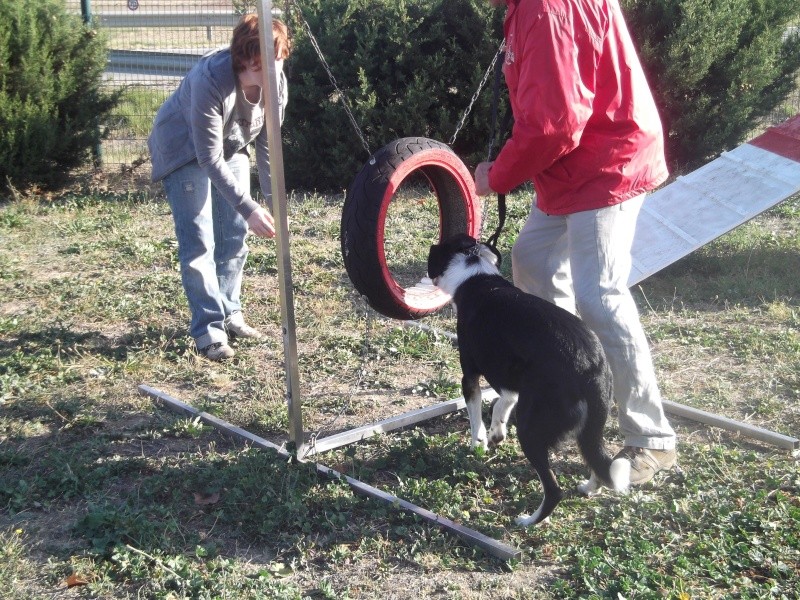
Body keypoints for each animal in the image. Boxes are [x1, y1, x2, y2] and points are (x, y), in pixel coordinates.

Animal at [428, 234, 628, 524]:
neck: (476, 275)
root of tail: (591, 368)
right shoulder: (511, 380)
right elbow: (502, 403)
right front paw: (496, 433)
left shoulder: (470, 376)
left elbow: (476, 417)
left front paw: (478, 444)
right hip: (590, 426)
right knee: (599, 461)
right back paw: (589, 487)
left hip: (531, 430)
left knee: (554, 489)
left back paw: (528, 521)